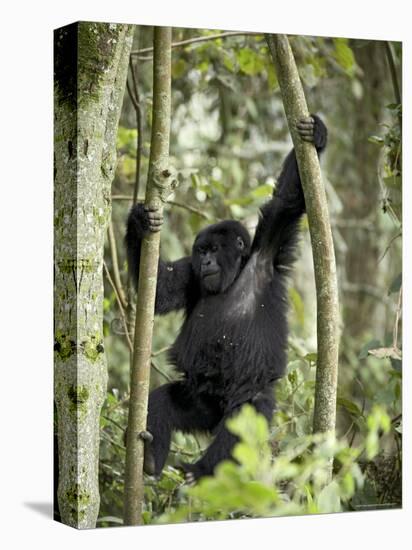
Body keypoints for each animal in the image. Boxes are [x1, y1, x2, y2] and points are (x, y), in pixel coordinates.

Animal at [124, 115, 326, 484]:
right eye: (201, 250)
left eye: (215, 249)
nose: (205, 262)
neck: (237, 272)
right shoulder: (190, 276)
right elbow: (162, 289)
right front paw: (140, 222)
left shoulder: (269, 249)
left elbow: (288, 202)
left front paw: (316, 134)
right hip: (199, 403)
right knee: (164, 400)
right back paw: (150, 459)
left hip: (246, 400)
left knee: (238, 428)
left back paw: (202, 470)